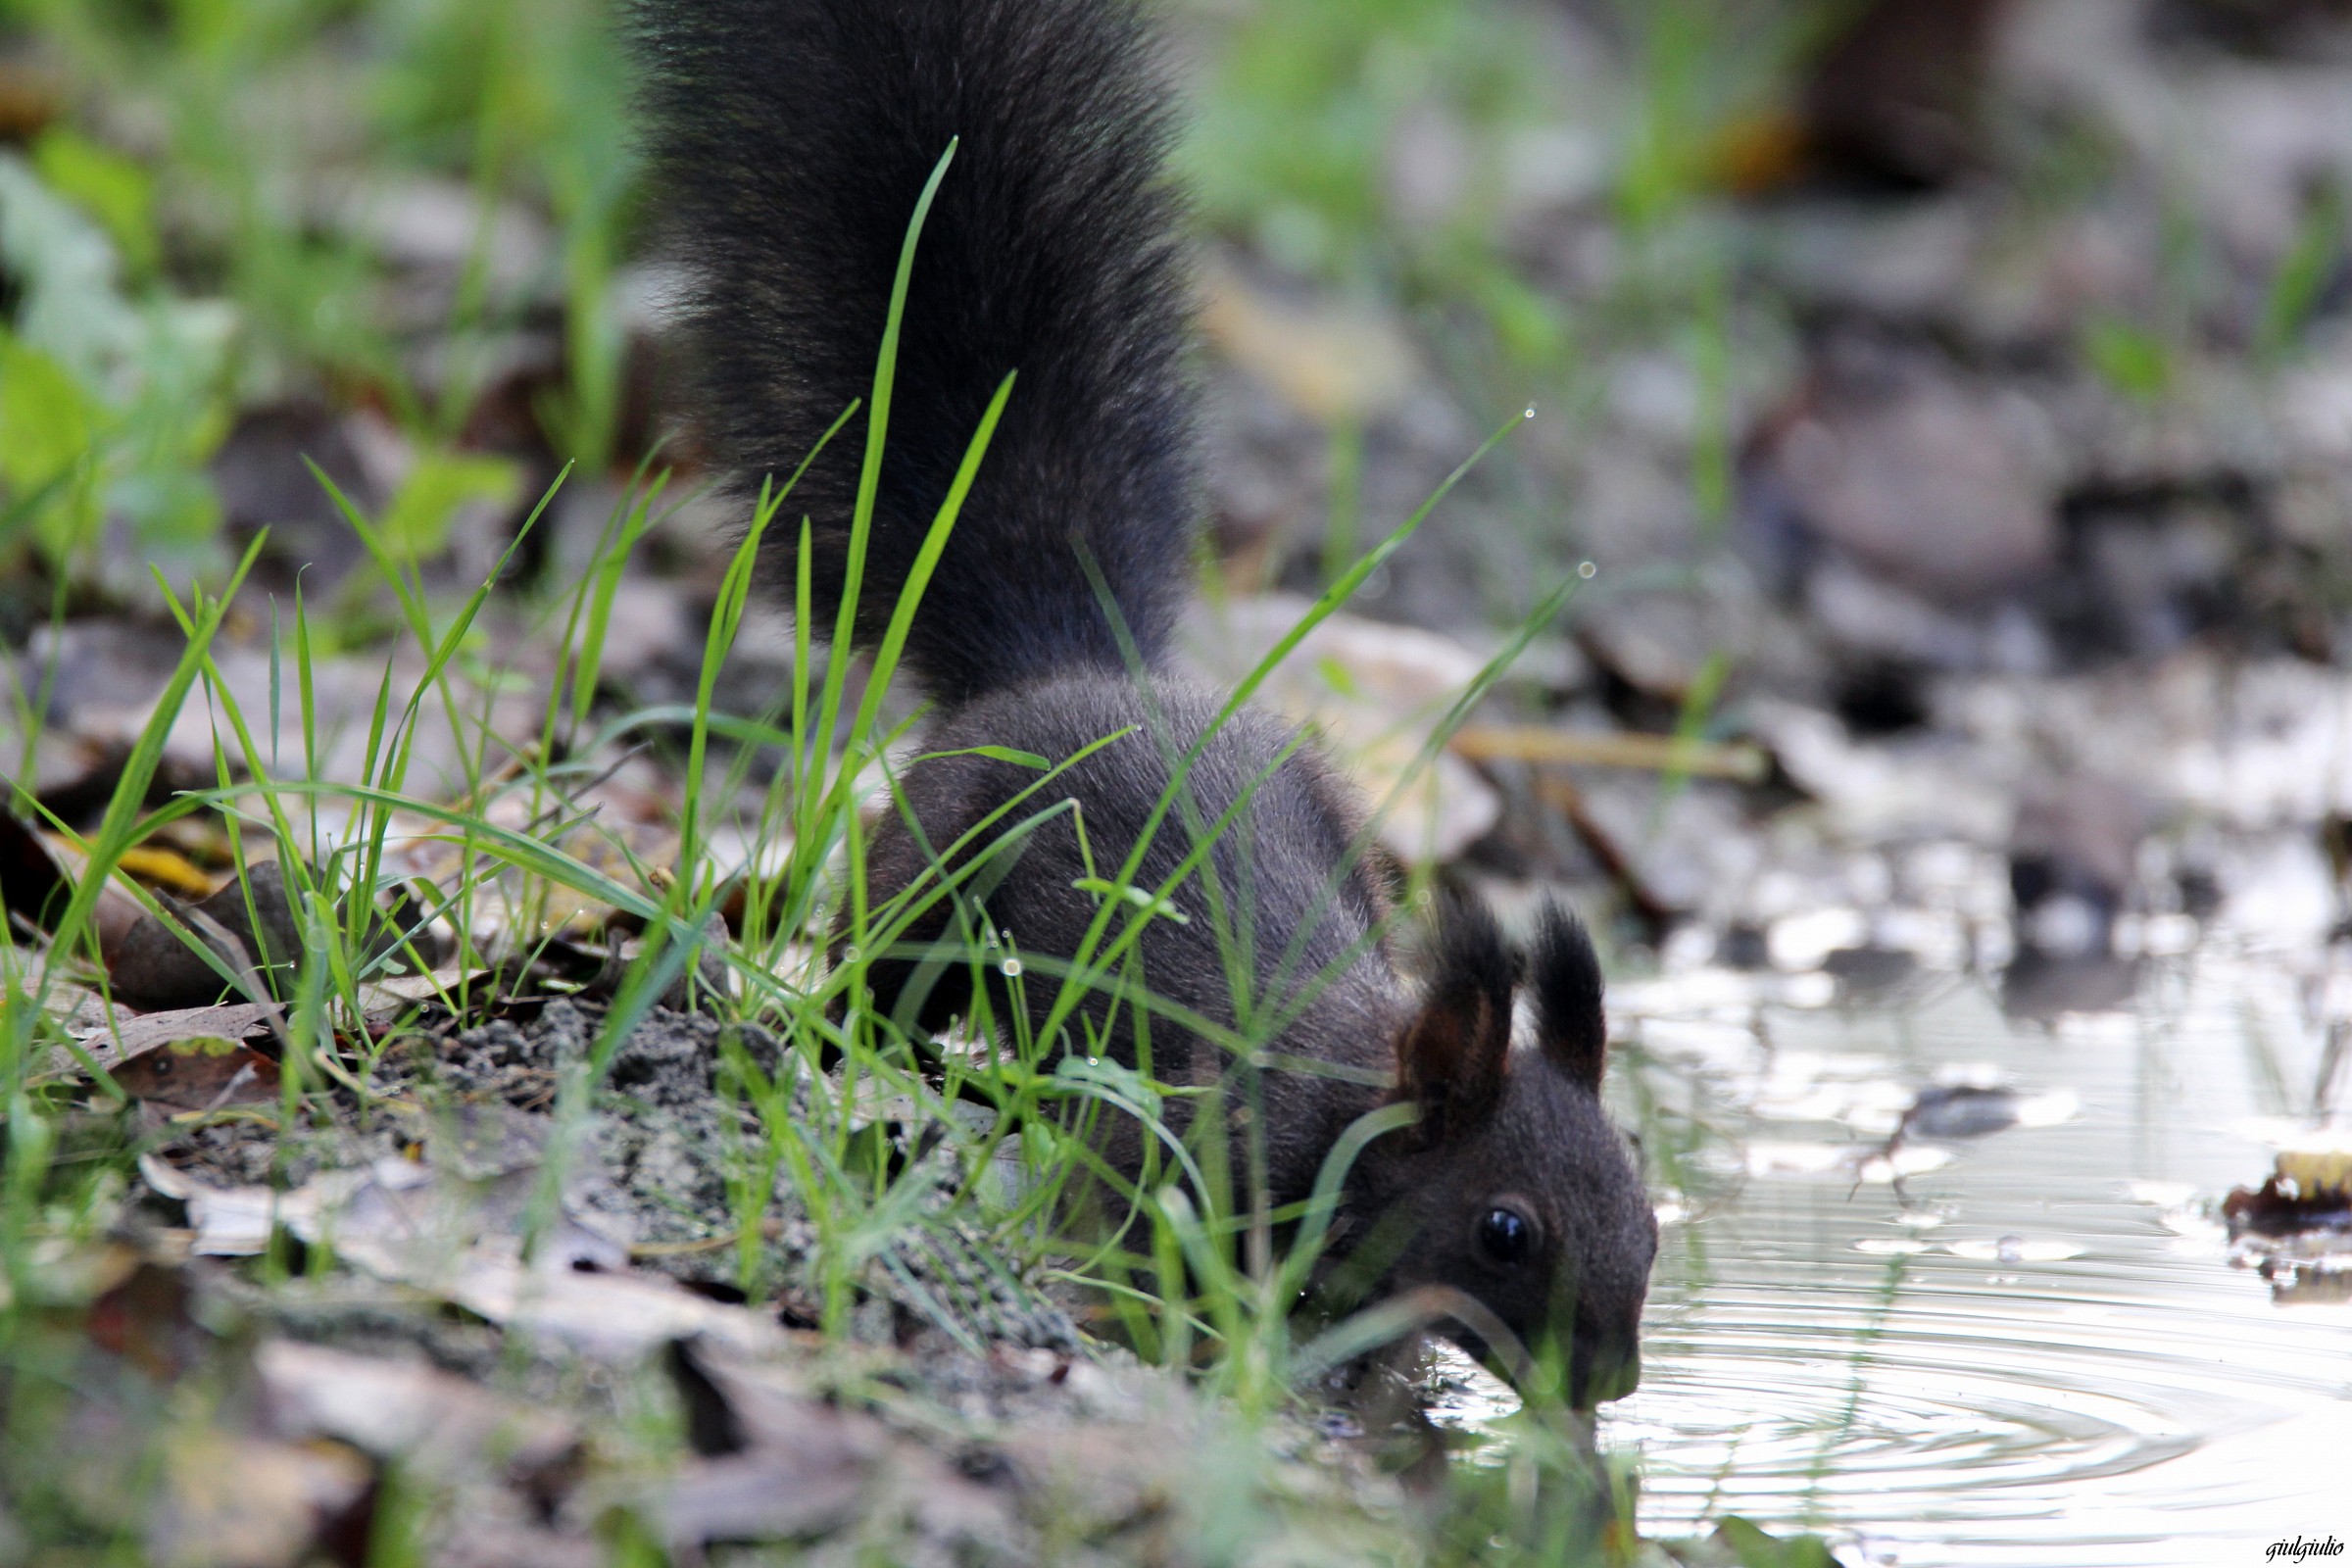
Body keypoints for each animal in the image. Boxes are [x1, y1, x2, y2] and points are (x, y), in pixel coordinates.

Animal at [633, 0, 1656, 1406]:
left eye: (1650, 1214)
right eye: (1507, 1230)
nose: (1608, 1381)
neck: (1348, 1099)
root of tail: (1066, 664)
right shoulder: (1195, 1147)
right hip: (931, 869)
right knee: (883, 975)